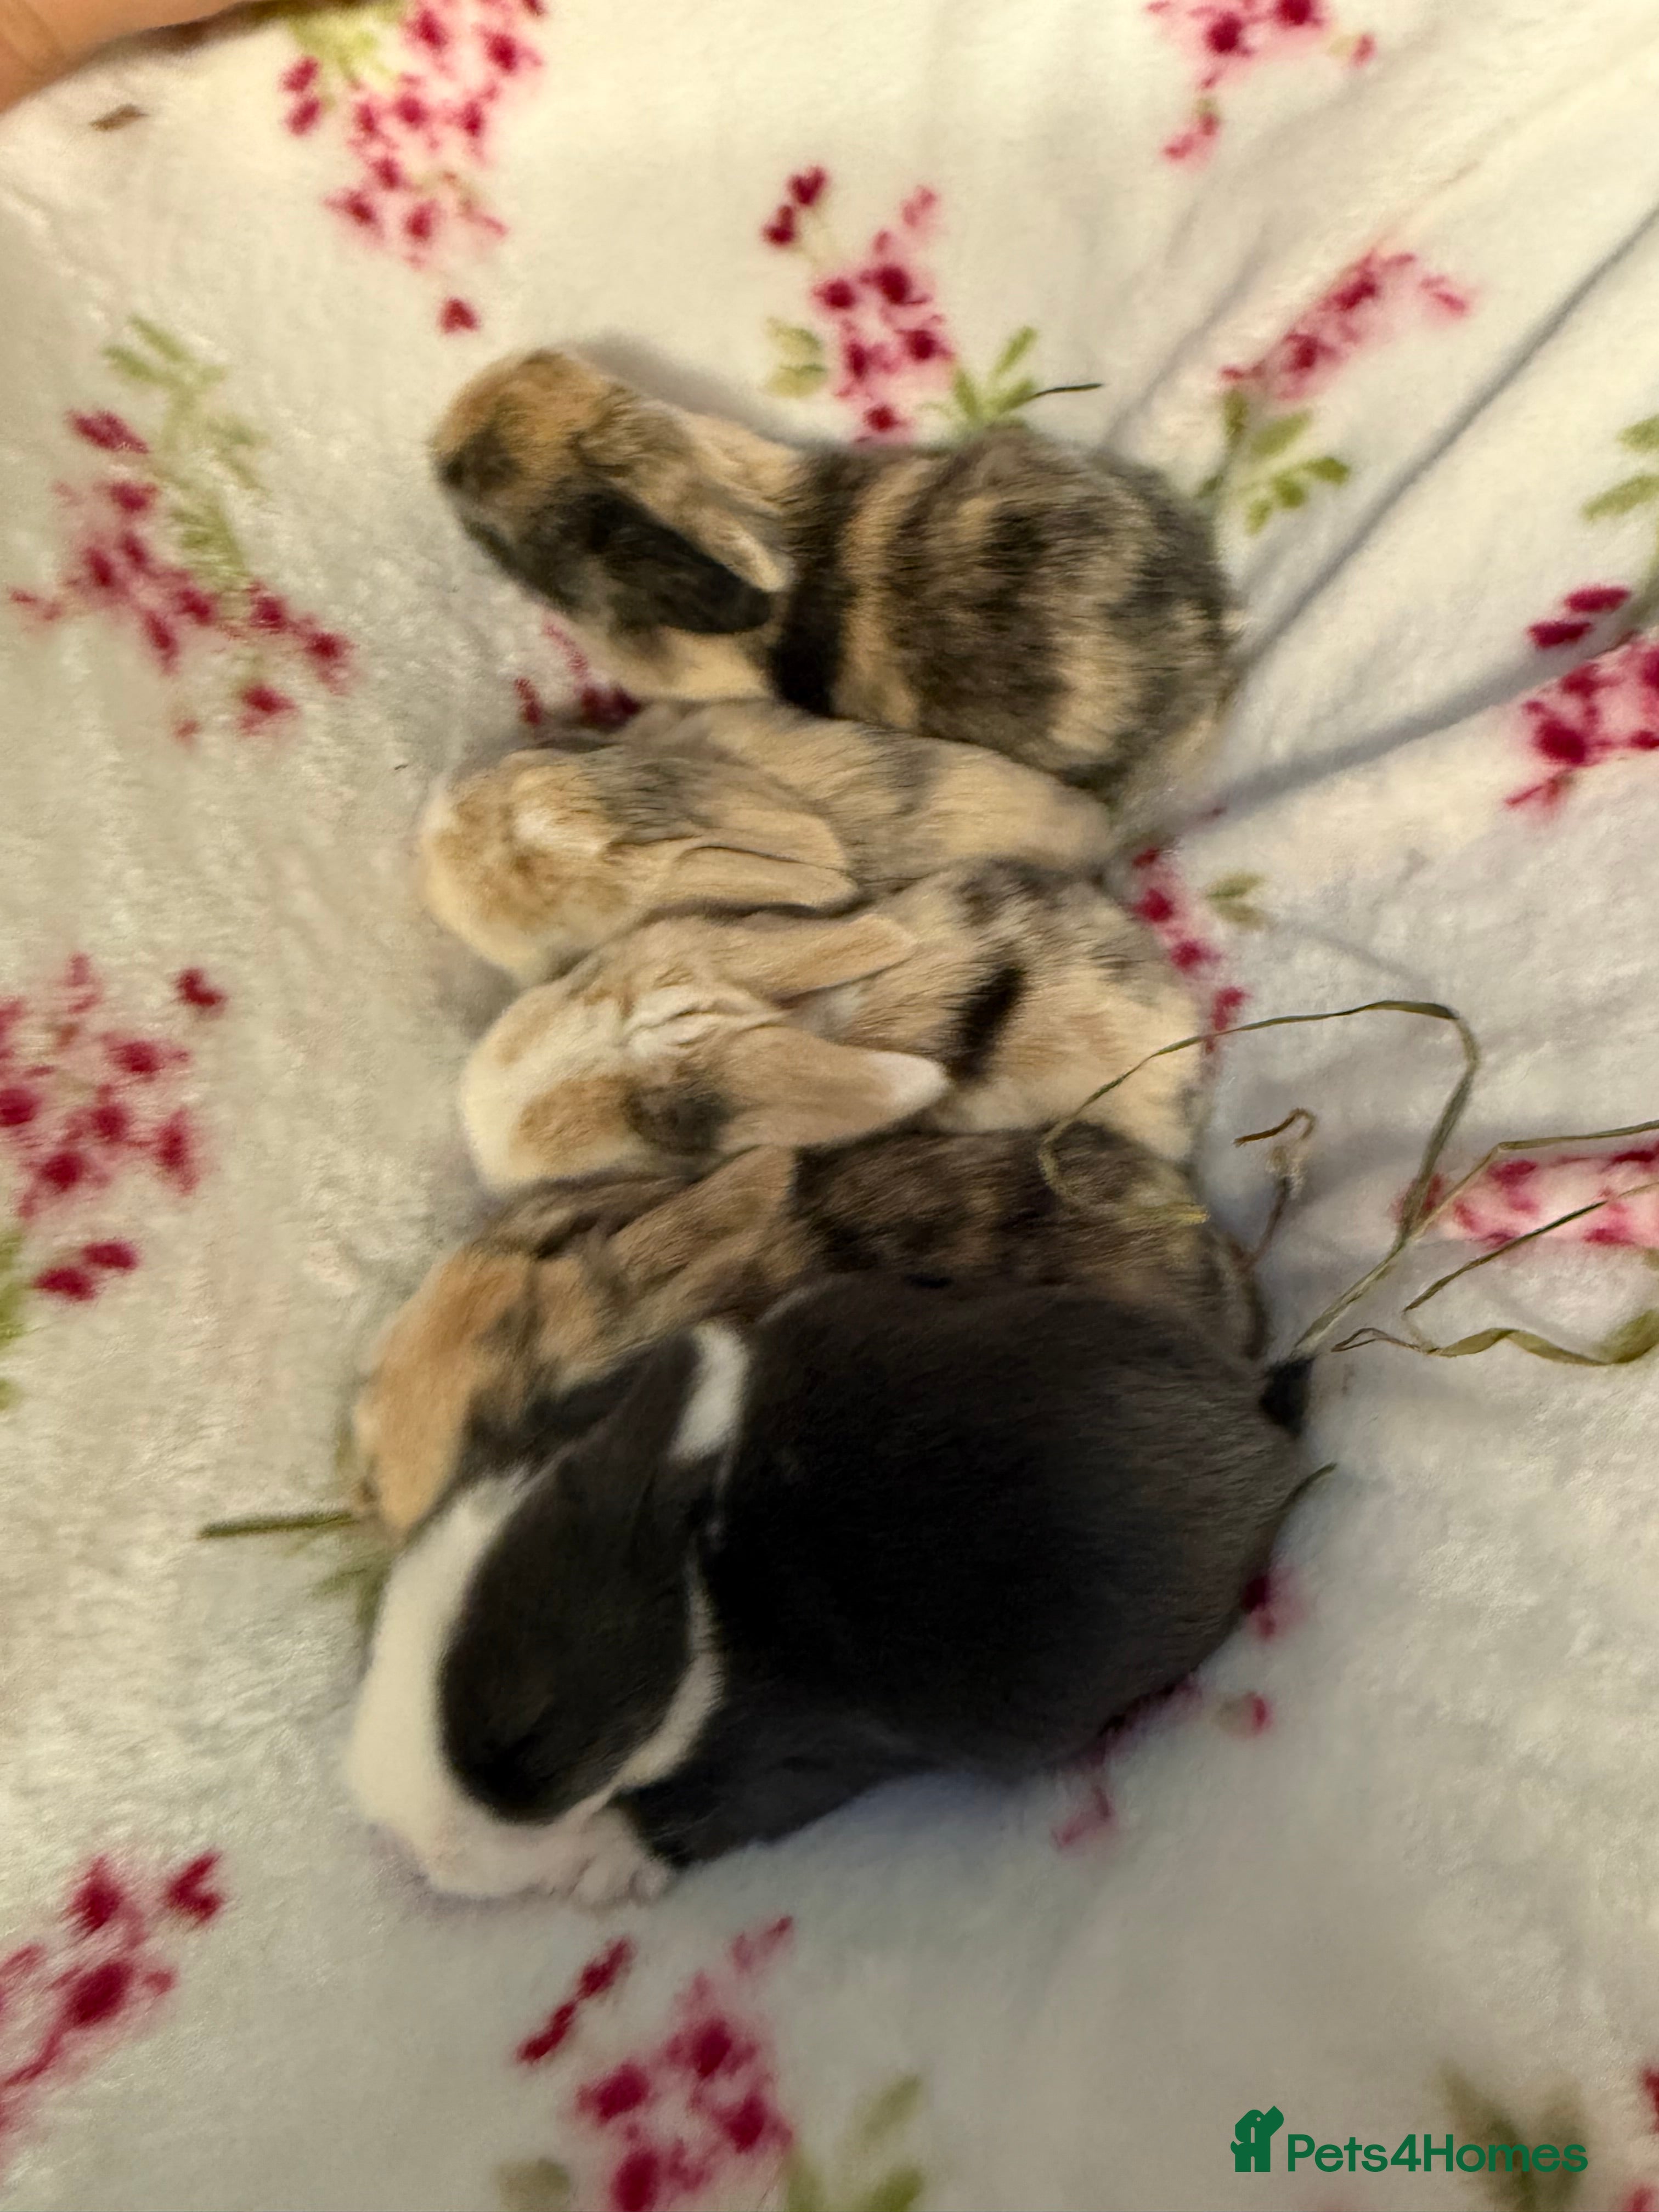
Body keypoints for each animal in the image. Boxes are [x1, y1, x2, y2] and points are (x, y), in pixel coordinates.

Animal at [343, 1274, 1311, 1903]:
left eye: (531, 1741)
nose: (404, 1844)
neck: (698, 1593)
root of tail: (1254, 1428)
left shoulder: (798, 1754)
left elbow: (707, 1813)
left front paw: (604, 1867)